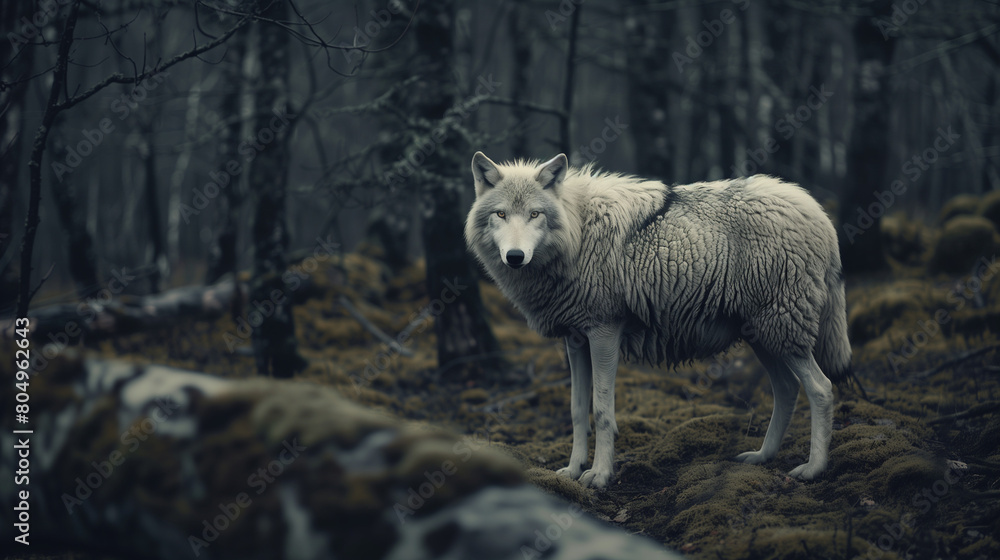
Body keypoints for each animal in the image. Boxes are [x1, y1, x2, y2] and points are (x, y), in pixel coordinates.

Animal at [464, 152, 852, 488]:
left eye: (534, 214)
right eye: (501, 214)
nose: (515, 257)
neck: (579, 231)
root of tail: (820, 214)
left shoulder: (604, 333)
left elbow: (601, 411)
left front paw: (600, 475)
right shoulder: (575, 340)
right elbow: (576, 411)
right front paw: (573, 470)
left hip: (781, 331)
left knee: (821, 389)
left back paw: (813, 468)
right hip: (765, 337)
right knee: (786, 389)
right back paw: (762, 456)